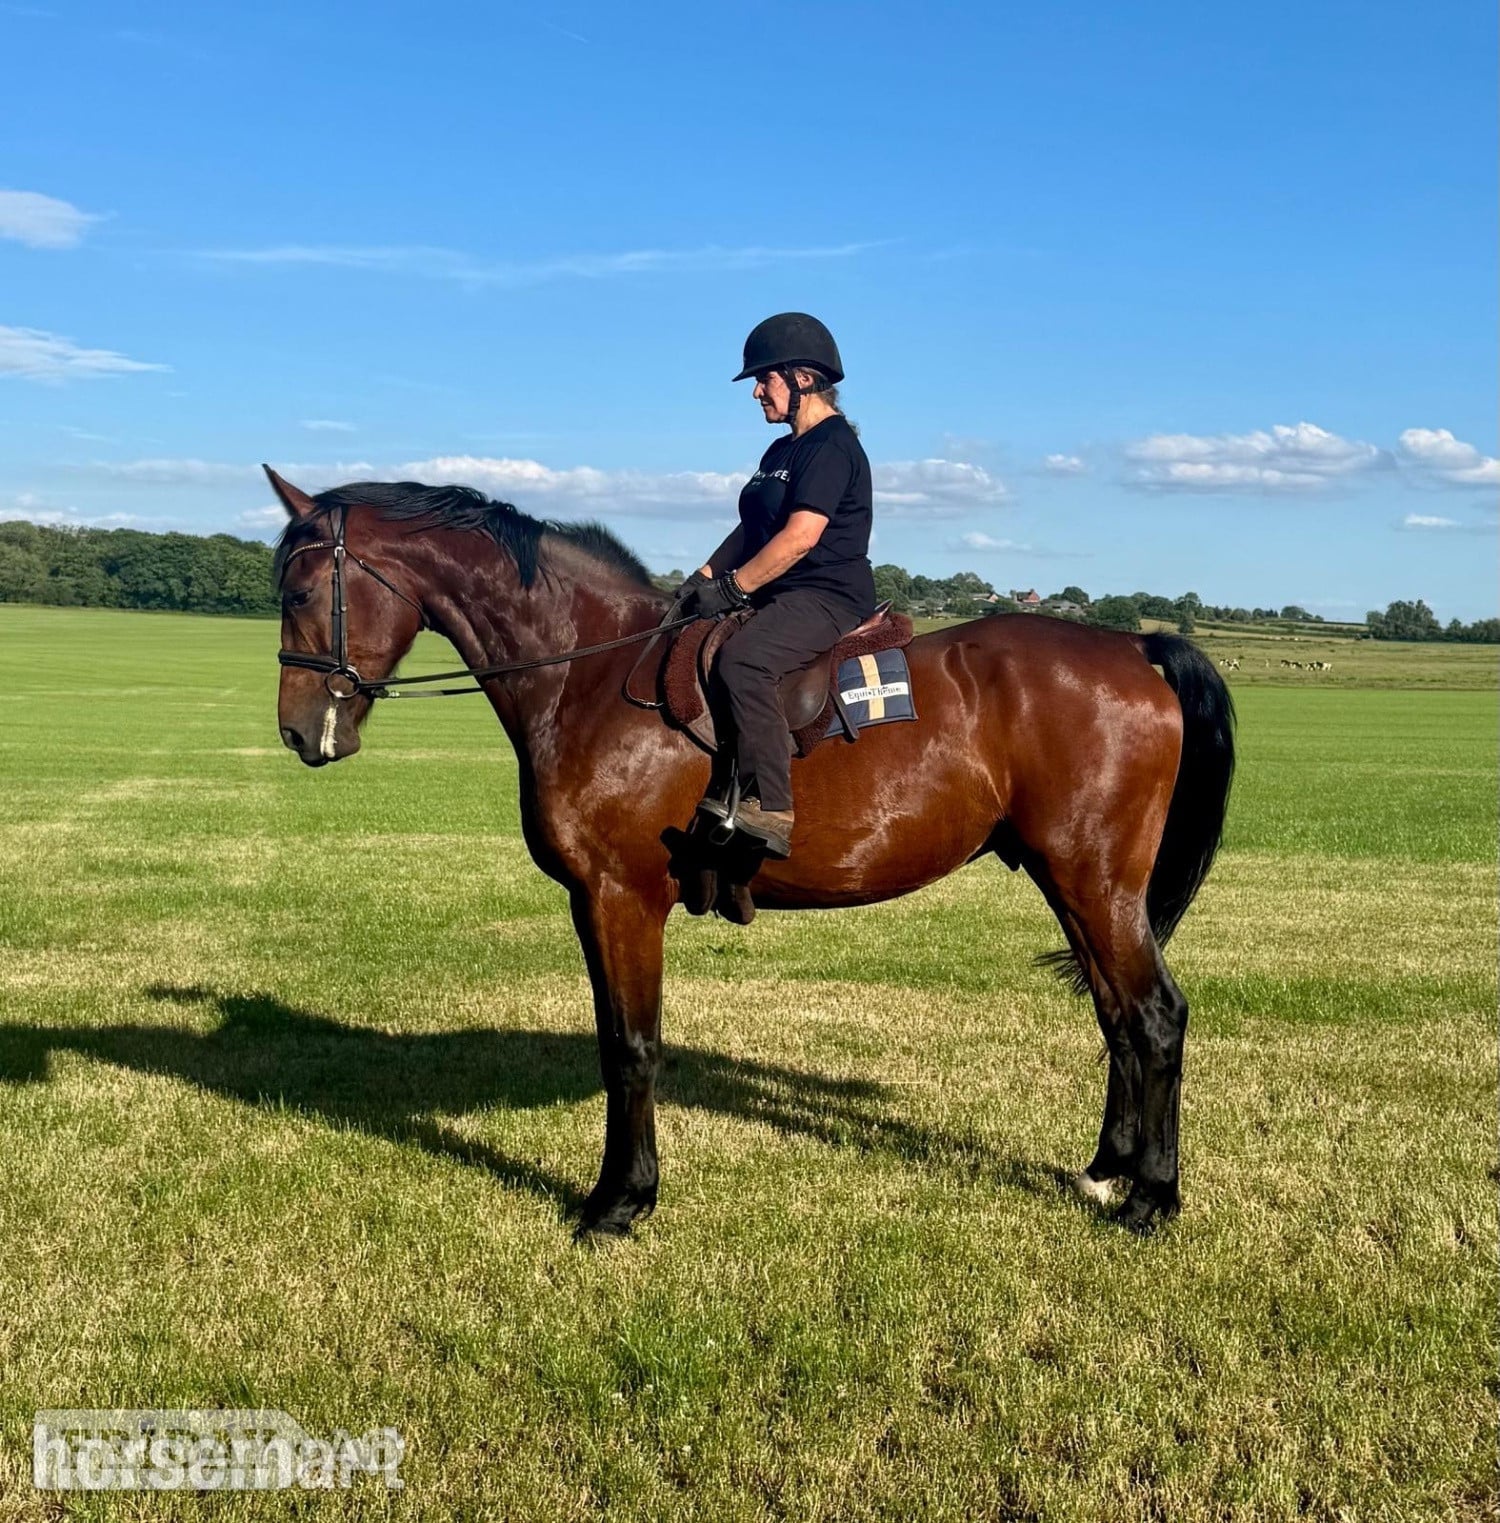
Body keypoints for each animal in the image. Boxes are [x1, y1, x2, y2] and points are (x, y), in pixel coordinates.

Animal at [266, 467, 1235, 1238]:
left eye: (302, 592)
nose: (297, 732)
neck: (587, 676)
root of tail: (1135, 647)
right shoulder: (593, 902)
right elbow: (616, 1040)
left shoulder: (618, 896)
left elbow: (632, 1046)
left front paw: (620, 1200)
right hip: (1075, 884)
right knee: (1117, 1016)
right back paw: (1108, 1171)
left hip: (1095, 882)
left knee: (1156, 1017)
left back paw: (1152, 1196)